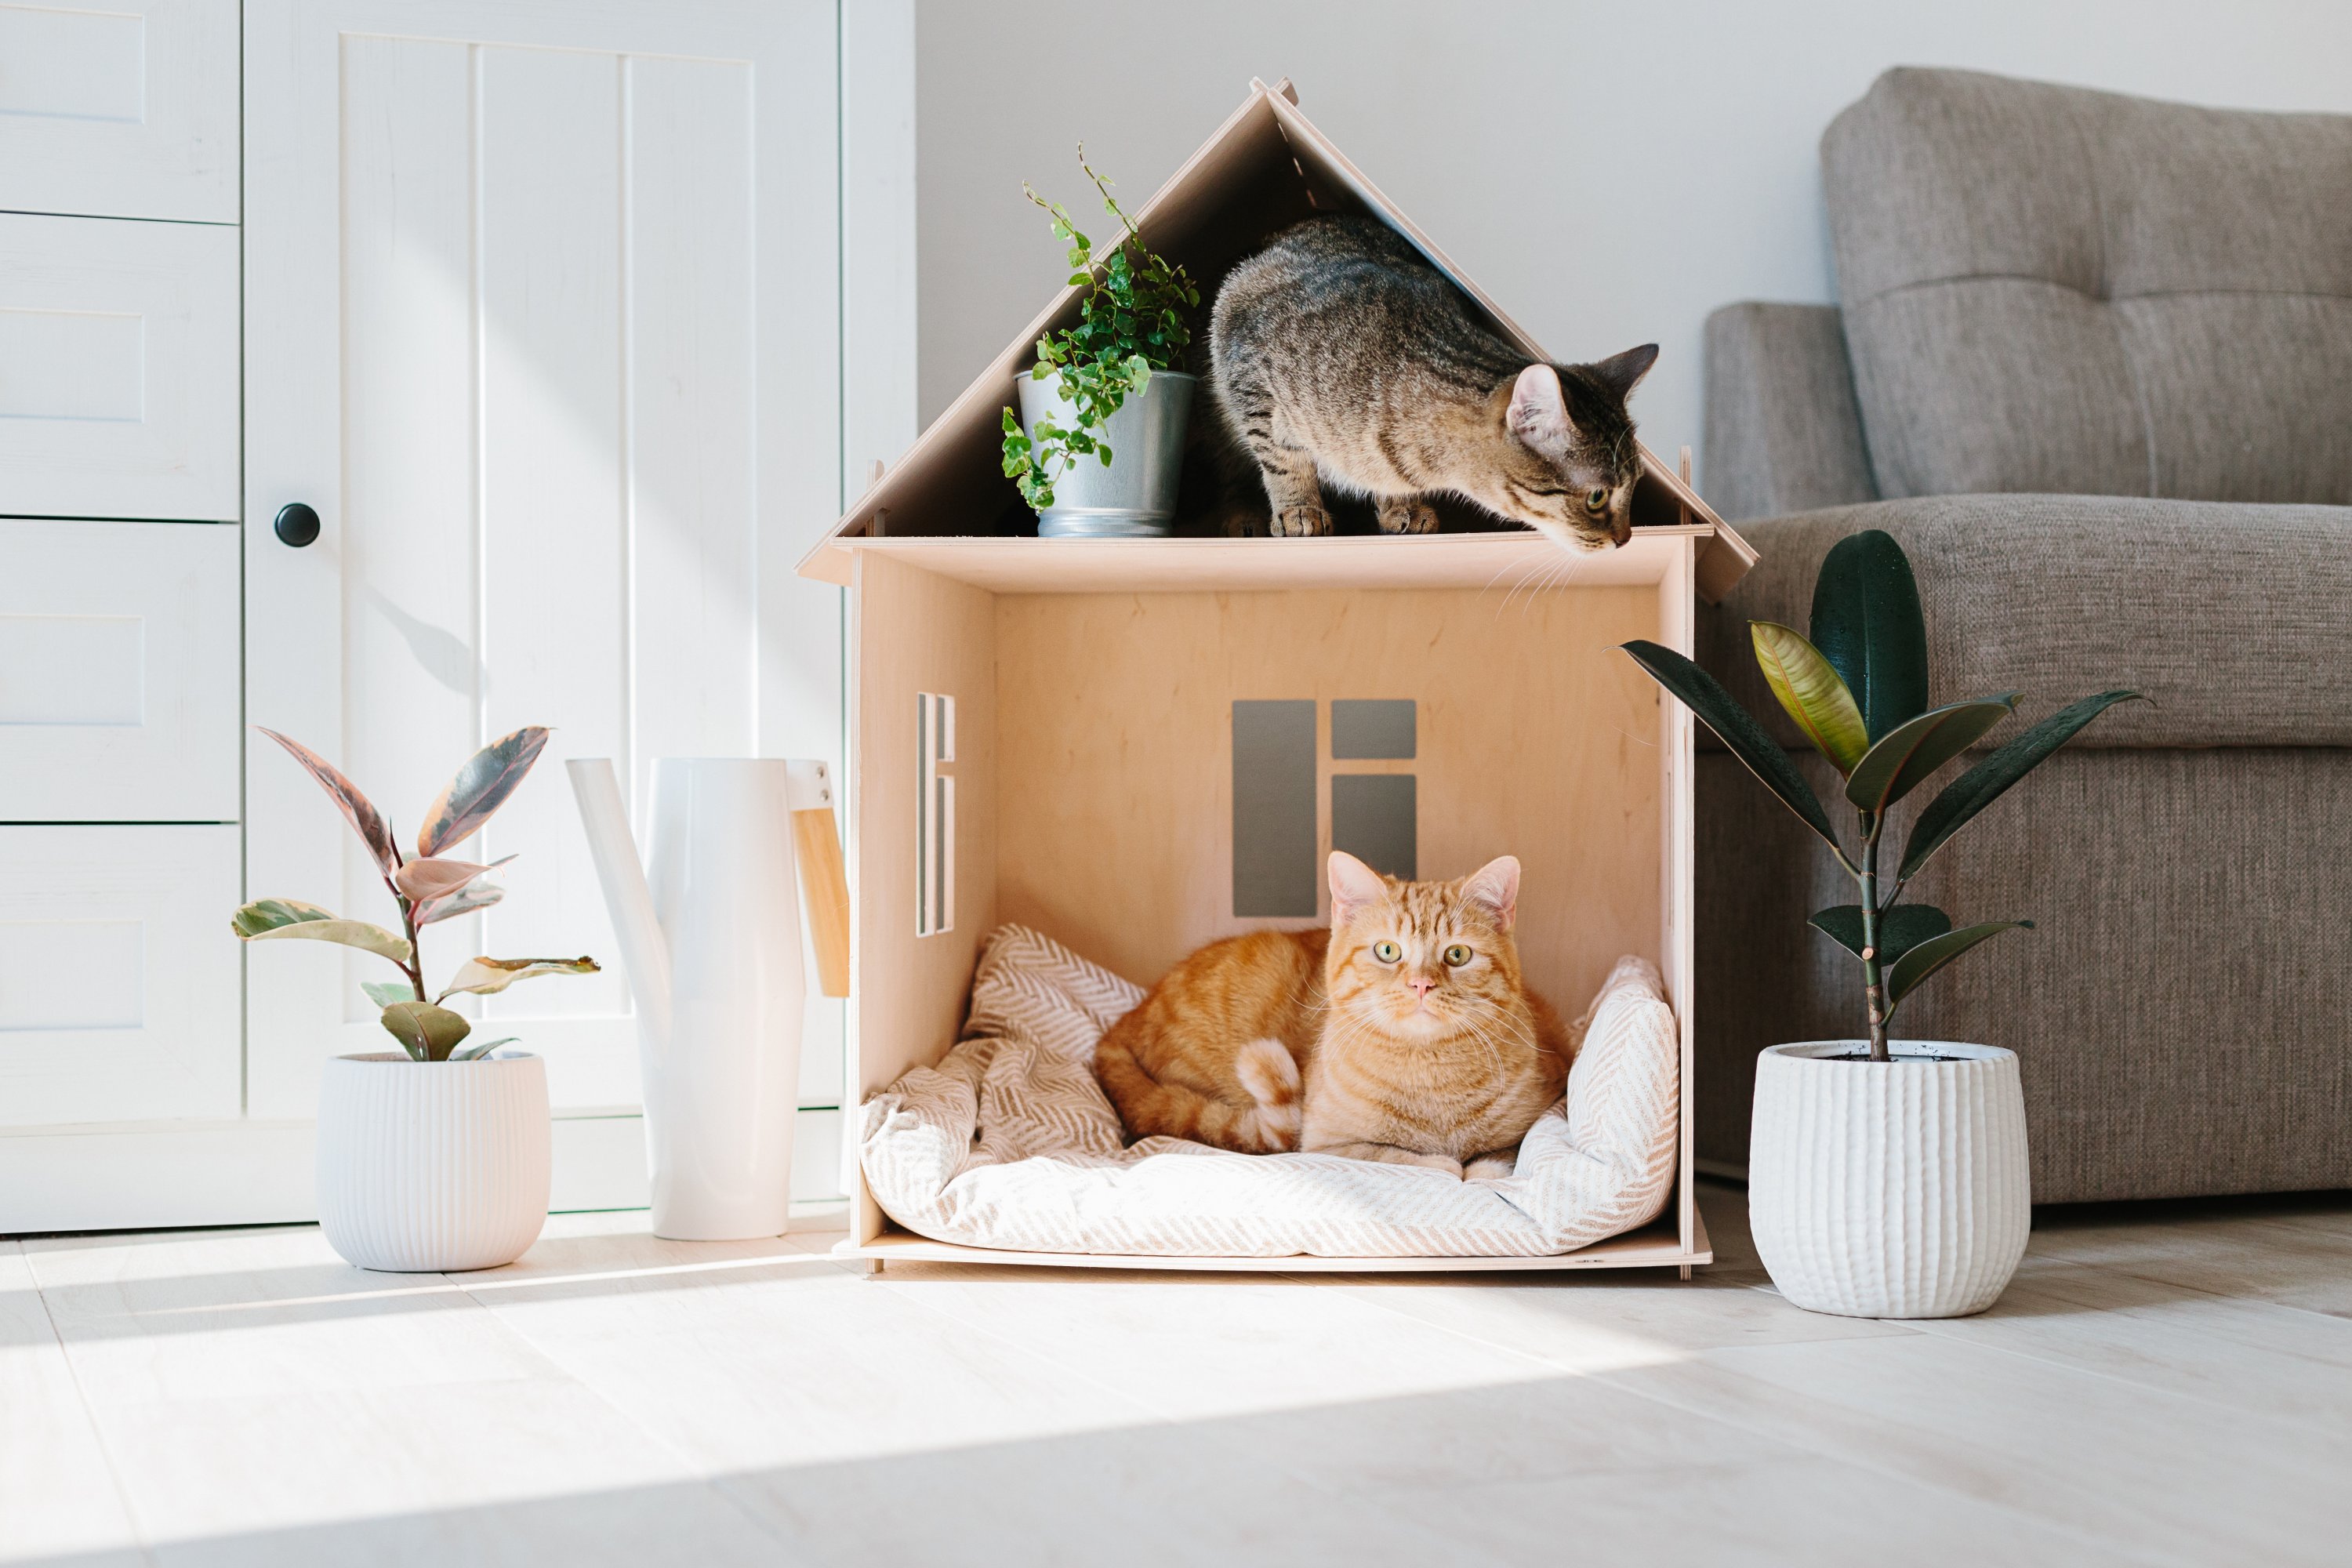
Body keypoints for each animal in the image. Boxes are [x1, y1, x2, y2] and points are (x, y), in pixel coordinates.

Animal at [1091, 846, 1571, 1175]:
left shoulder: (1545, 1105)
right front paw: (1444, 1164)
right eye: (1387, 951)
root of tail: (1126, 1020)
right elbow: (1402, 1157)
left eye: (1457, 954)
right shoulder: (1326, 1145)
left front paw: (1478, 1167)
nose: (1420, 984)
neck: (1431, 1078)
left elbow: (1500, 1156)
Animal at [1214, 215, 1656, 545]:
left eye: (1636, 487)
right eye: (1597, 497)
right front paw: (1298, 507)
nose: (1627, 538)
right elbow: (1281, 458)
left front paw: (1402, 505)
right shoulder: (1247, 364)